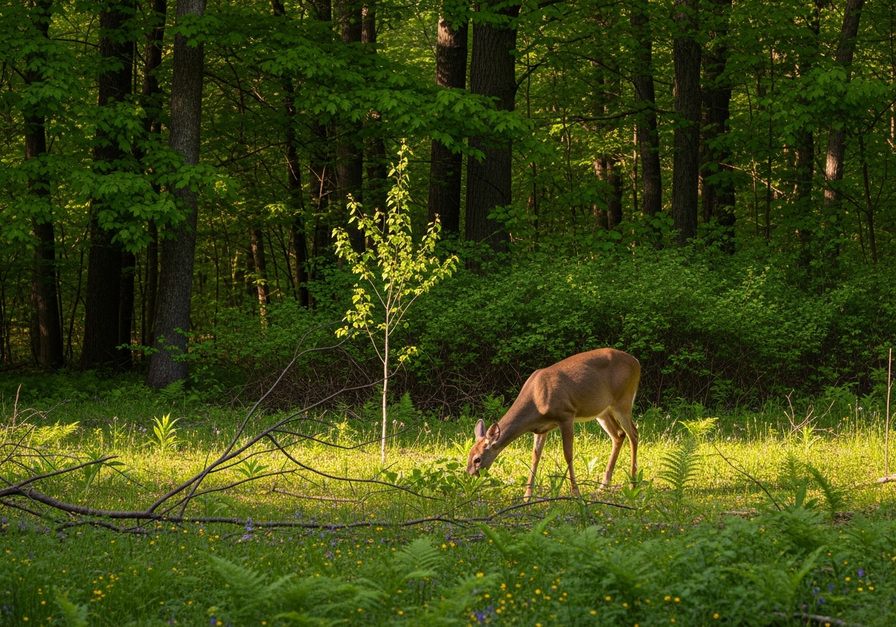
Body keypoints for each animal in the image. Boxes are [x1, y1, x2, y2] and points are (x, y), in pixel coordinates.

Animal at [465, 348, 640, 499]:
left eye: (477, 459)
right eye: (469, 455)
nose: (469, 475)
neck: (536, 400)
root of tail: (637, 362)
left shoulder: (566, 415)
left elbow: (568, 454)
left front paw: (576, 493)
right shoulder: (541, 429)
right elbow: (535, 457)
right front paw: (527, 496)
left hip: (623, 399)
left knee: (633, 433)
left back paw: (633, 484)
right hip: (602, 410)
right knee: (619, 434)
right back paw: (602, 487)